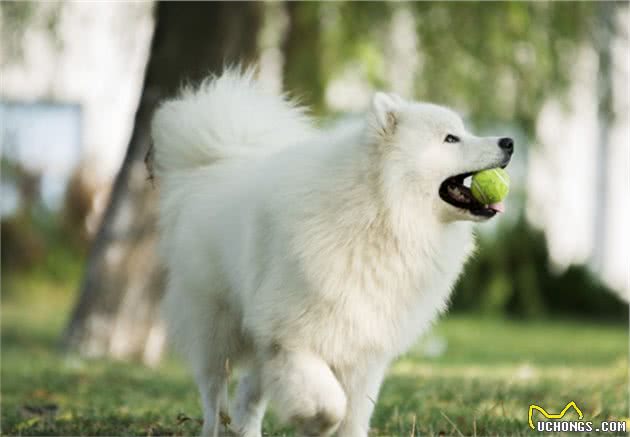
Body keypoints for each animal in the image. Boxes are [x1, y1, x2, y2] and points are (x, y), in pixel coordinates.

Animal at [152, 70, 512, 434]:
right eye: (451, 139)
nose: (508, 142)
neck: (379, 212)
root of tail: (213, 165)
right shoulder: (292, 337)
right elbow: (331, 403)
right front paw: (313, 421)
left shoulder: (363, 349)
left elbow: (353, 415)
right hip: (217, 327)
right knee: (215, 394)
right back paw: (217, 426)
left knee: (248, 397)